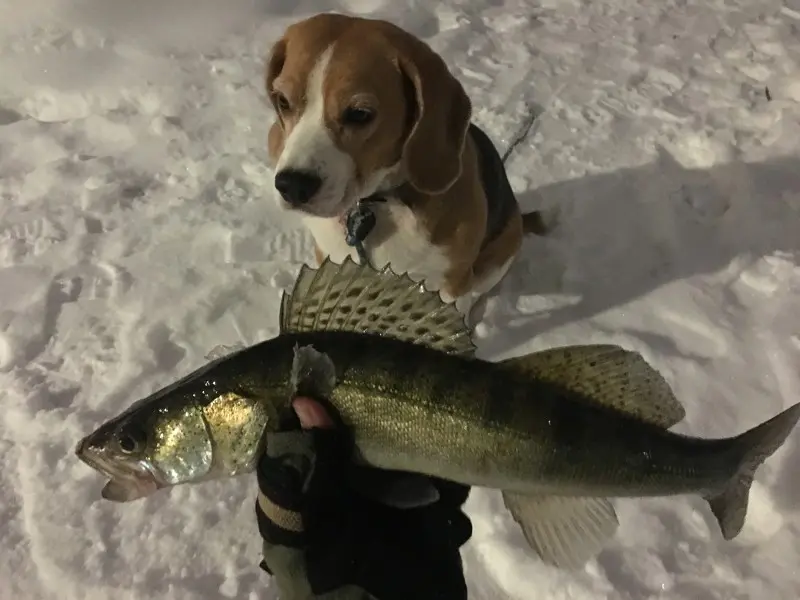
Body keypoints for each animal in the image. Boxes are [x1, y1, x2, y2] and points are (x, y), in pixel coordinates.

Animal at [266, 12, 548, 314]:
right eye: (282, 101)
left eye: (360, 114)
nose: (291, 186)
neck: (375, 204)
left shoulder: (452, 283)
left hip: (499, 254)